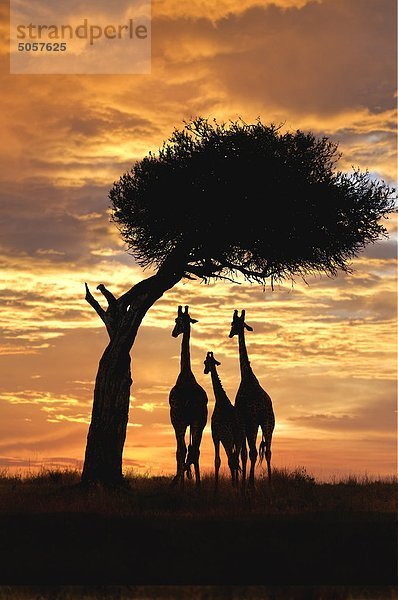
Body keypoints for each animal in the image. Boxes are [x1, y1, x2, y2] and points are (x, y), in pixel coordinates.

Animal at [204, 352, 244, 492]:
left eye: (206, 362)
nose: (205, 371)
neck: (220, 400)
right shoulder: (221, 437)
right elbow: (222, 460)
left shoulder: (218, 435)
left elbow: (221, 461)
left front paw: (217, 489)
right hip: (237, 439)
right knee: (235, 458)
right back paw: (236, 485)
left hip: (231, 438)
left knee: (232, 459)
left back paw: (235, 486)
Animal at [229, 310, 276, 492]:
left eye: (233, 324)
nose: (230, 333)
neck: (247, 376)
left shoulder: (243, 420)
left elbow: (244, 454)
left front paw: (244, 484)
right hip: (268, 423)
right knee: (268, 451)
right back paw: (269, 484)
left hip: (254, 422)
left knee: (253, 452)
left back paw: (251, 485)